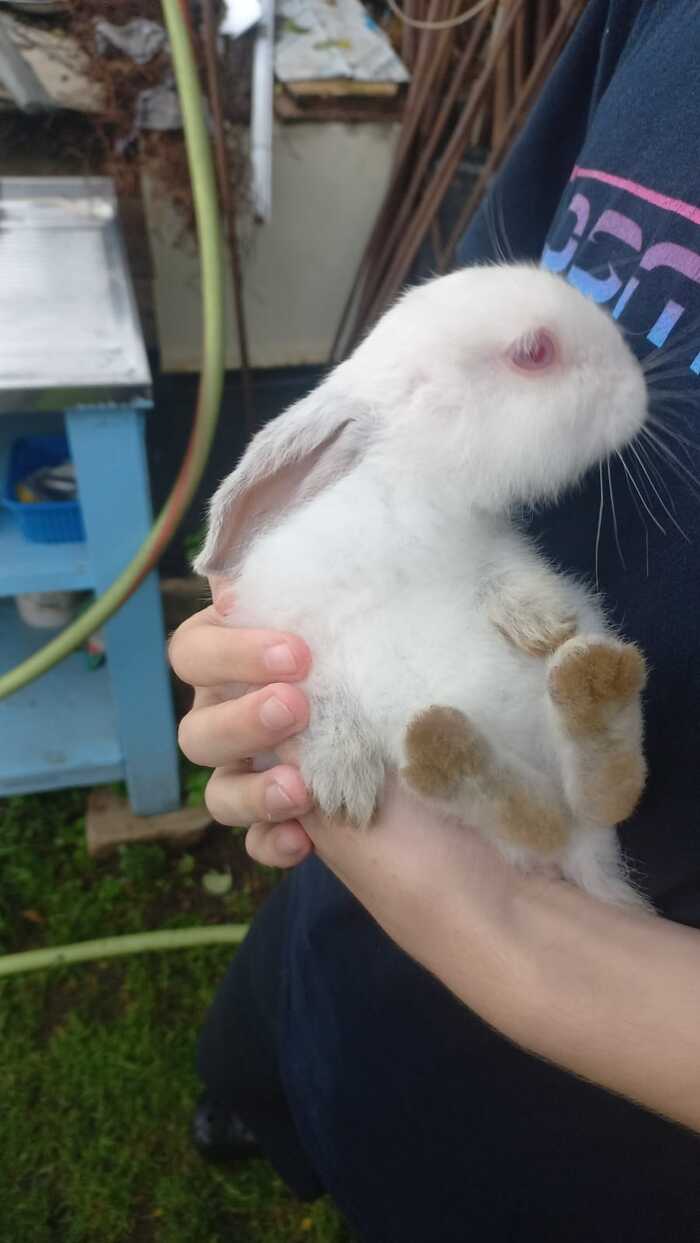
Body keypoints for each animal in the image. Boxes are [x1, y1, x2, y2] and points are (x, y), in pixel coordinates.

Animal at [196, 264, 651, 904]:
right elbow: (316, 699)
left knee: (597, 797)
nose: (639, 390)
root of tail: (587, 859)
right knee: (542, 820)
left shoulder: (493, 549)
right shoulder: (284, 636)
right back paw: (457, 751)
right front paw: (345, 782)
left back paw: (592, 684)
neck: (407, 499)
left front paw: (543, 621)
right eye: (534, 352)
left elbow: (507, 578)